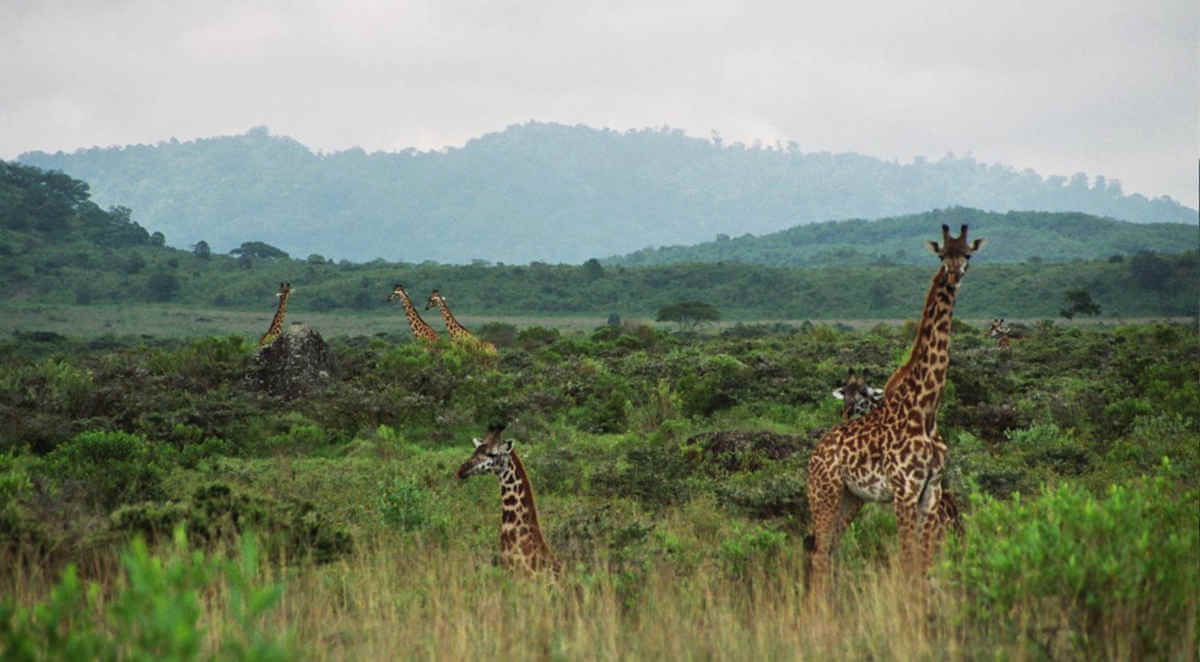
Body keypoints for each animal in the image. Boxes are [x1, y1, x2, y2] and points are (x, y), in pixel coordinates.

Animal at [806, 225, 984, 597]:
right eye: (942, 254)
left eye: (968, 254)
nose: (954, 274)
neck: (926, 411)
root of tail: (813, 455)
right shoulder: (904, 492)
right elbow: (907, 564)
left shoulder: (929, 493)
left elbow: (924, 566)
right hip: (824, 494)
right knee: (818, 553)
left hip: (851, 499)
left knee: (827, 550)